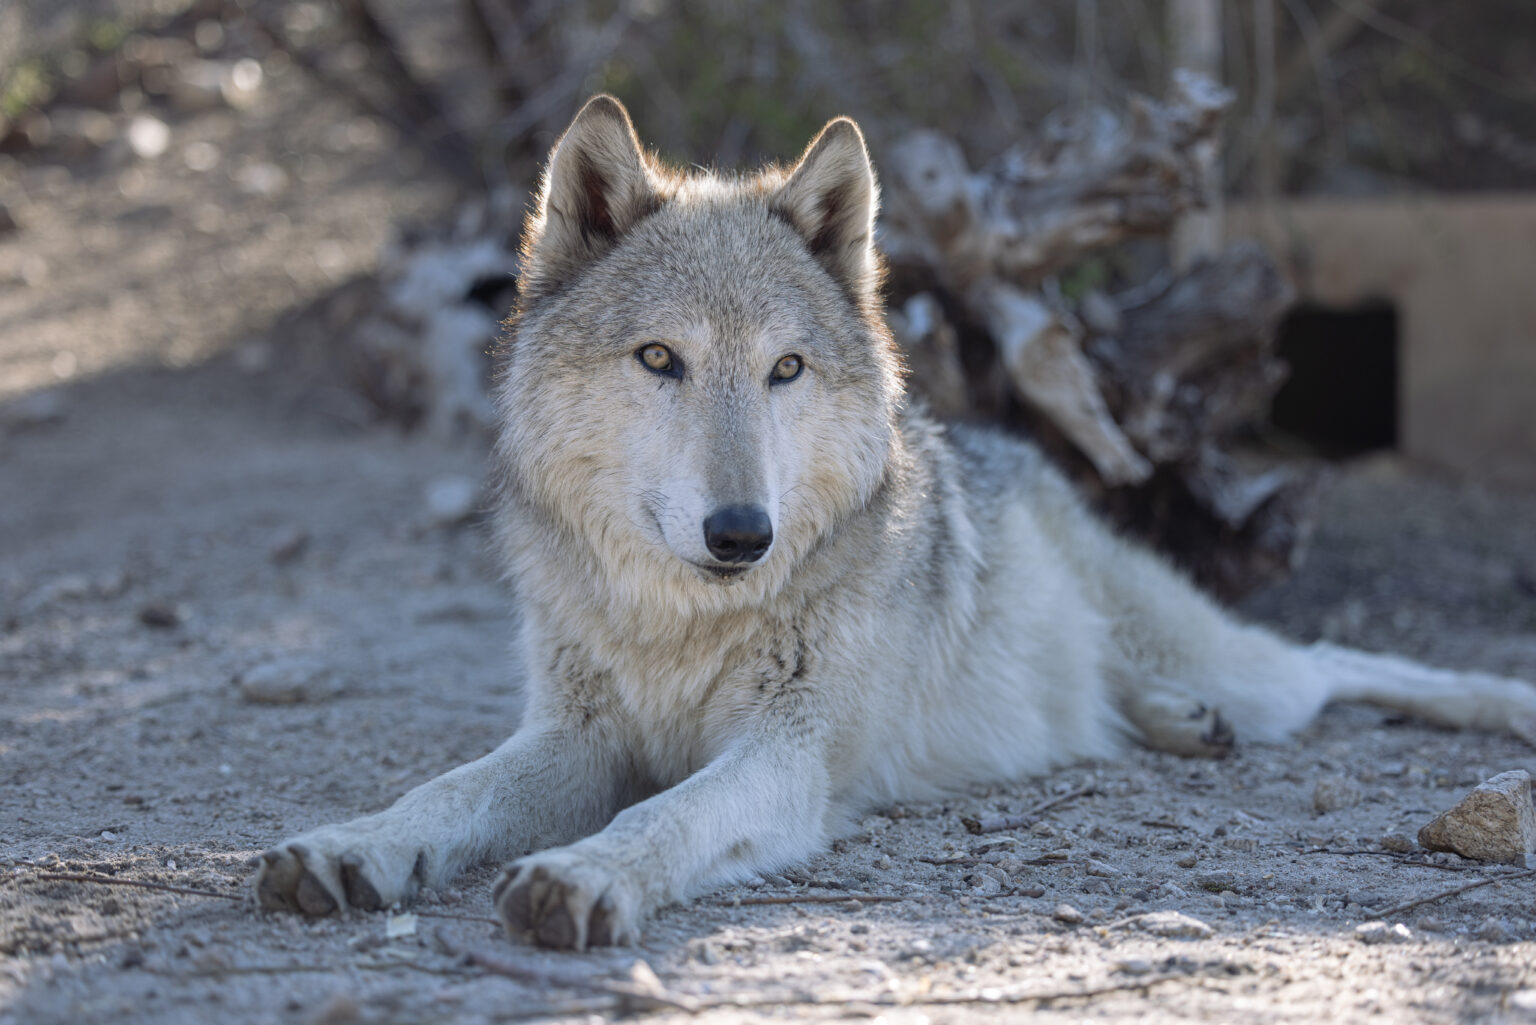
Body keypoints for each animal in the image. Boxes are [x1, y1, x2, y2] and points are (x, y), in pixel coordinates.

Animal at [256, 96, 1536, 949]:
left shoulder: (788, 754)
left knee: (1334, 658)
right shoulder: (571, 735)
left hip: (1247, 663)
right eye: (661, 359)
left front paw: (583, 873)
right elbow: (445, 793)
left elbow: (670, 811)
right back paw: (1177, 720)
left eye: (784, 369)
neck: (681, 627)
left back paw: (1493, 704)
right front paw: (349, 847)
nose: (743, 533)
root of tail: (1020, 452)